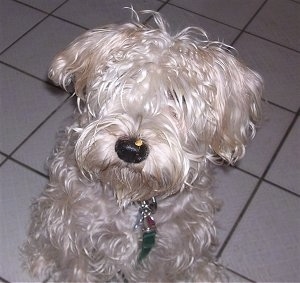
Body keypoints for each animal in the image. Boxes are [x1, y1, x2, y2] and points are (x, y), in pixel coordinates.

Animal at [22, 10, 262, 282]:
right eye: (121, 82)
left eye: (177, 97)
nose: (130, 149)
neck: (137, 201)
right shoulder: (75, 235)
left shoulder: (167, 252)